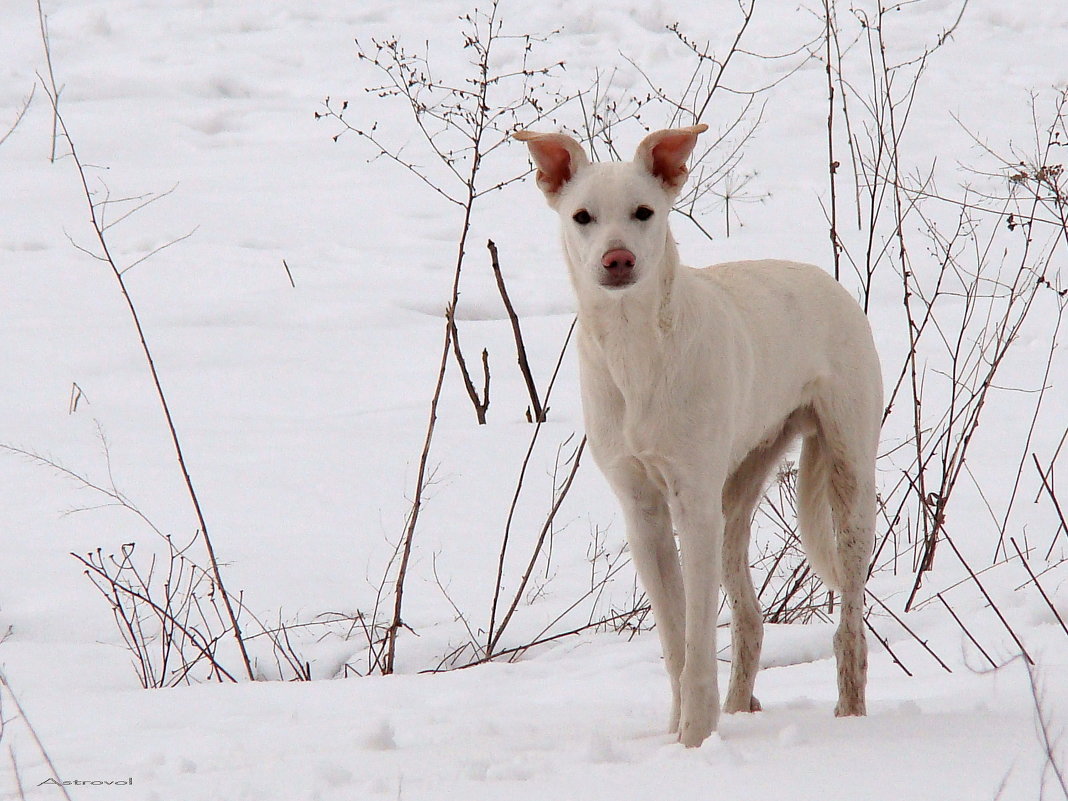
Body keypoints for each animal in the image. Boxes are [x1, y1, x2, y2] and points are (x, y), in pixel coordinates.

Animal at [512, 123, 880, 747]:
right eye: (582, 216)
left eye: (644, 212)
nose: (617, 258)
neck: (636, 350)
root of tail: (826, 279)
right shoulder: (644, 513)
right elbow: (675, 642)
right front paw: (683, 735)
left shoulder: (693, 503)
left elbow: (699, 641)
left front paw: (694, 738)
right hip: (737, 494)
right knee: (750, 620)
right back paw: (739, 707)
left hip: (849, 480)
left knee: (849, 627)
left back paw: (851, 716)